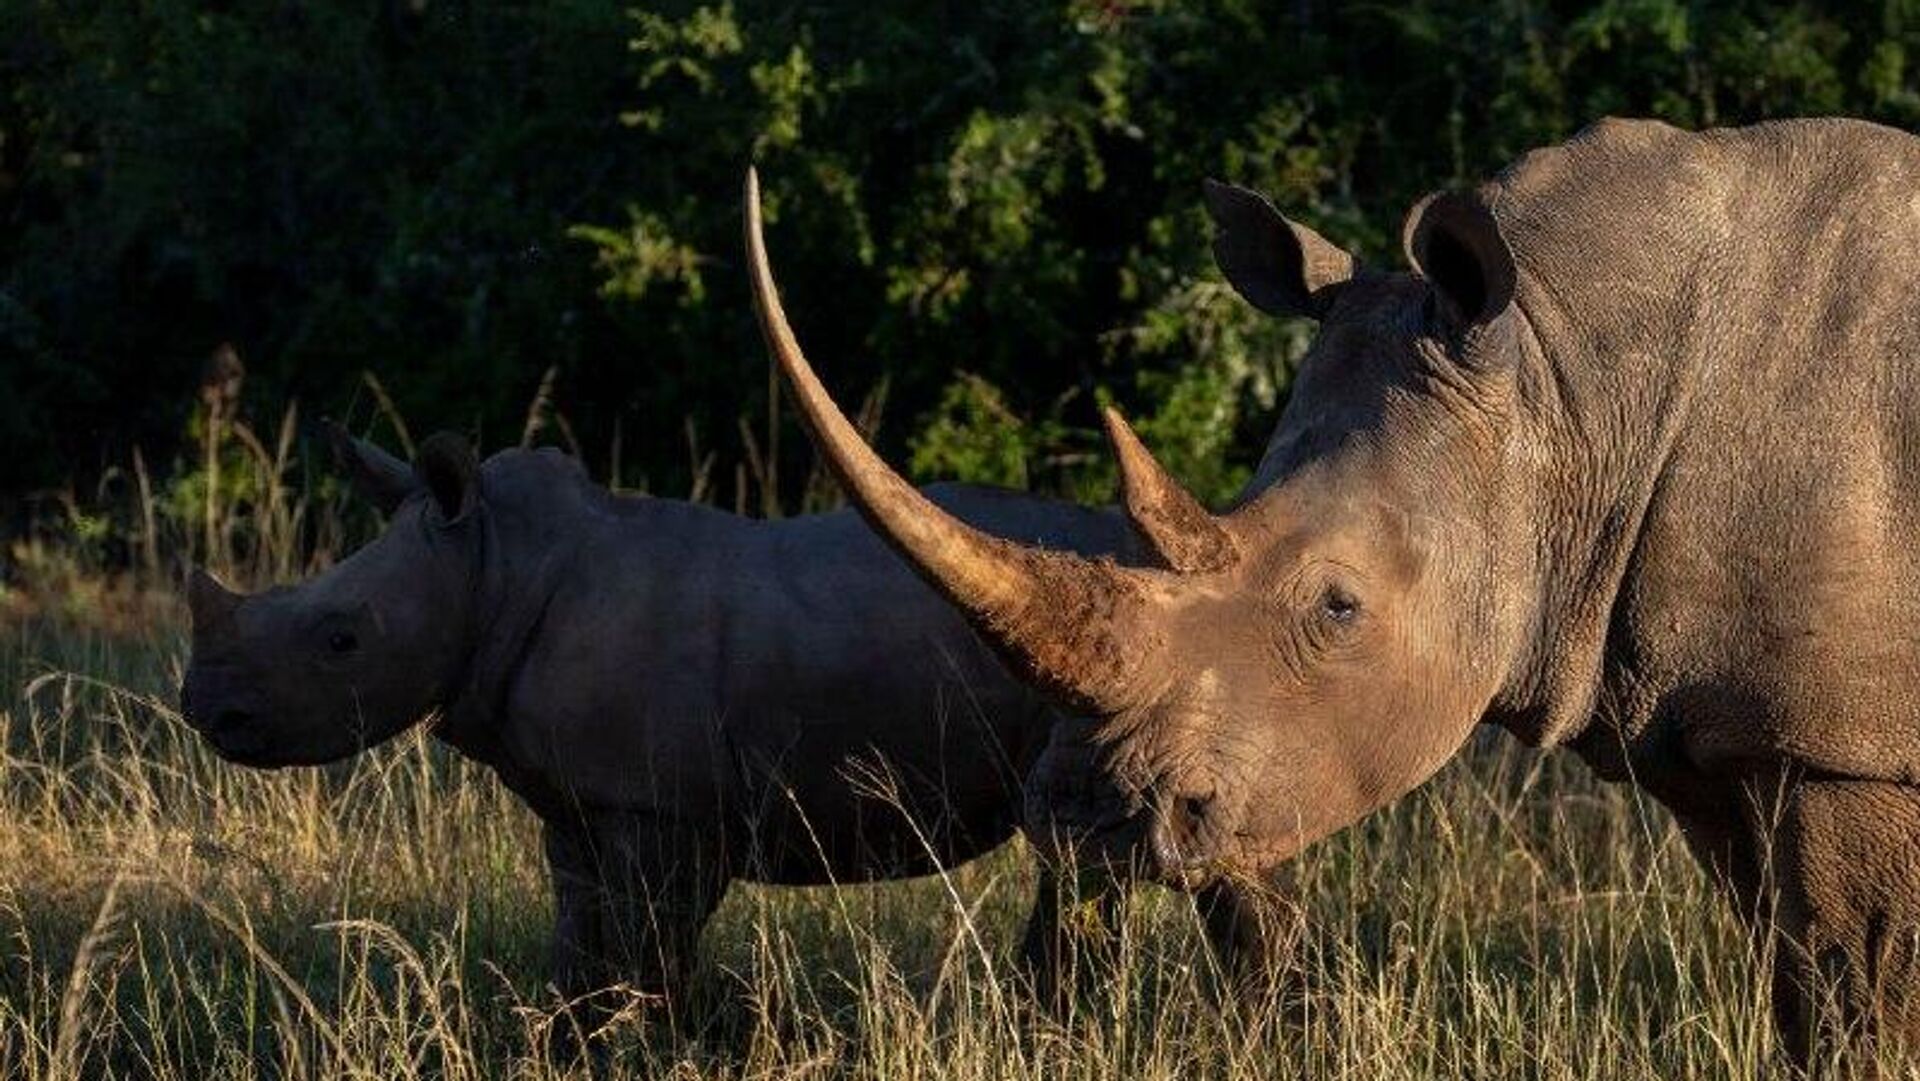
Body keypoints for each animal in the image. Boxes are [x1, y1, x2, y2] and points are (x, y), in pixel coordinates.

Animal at [178, 425, 1296, 1044]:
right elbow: (582, 951)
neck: (491, 566)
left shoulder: (663, 810)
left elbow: (650, 956)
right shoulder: (583, 805)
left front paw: (685, 1045)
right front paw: (572, 1045)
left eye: (341, 639)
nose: (207, 712)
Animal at [744, 116, 1920, 1064]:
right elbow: (1797, 979)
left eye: (1337, 607)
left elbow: (1859, 992)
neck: (1566, 378)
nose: (1083, 817)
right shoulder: (1731, 727)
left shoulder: (1843, 749)